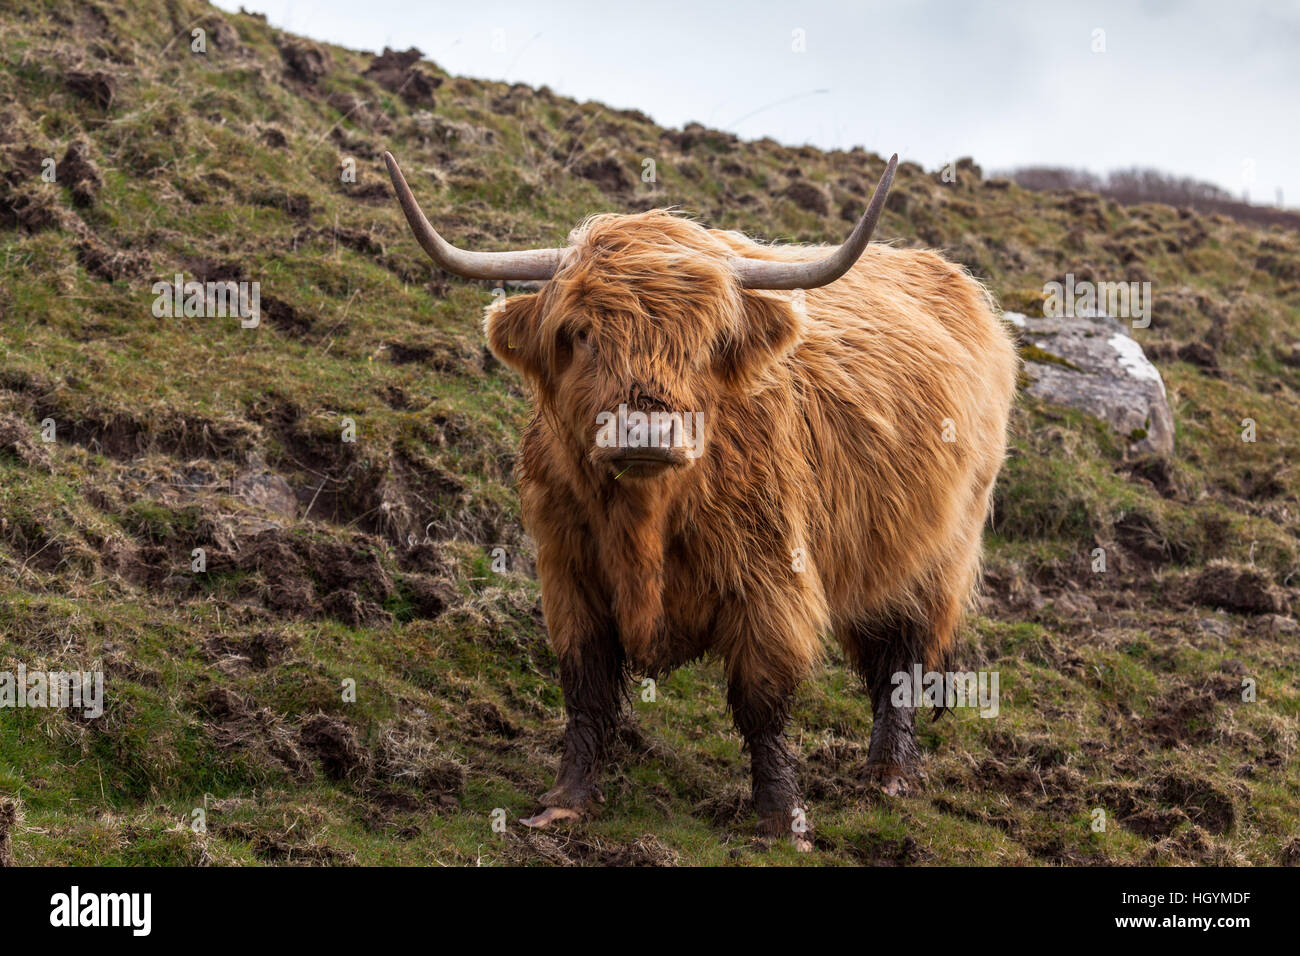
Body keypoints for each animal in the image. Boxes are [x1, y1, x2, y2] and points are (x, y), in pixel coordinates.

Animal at [385, 150, 1018, 849]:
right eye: (579, 333)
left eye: (708, 341)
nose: (644, 431)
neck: (648, 517)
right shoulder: (568, 575)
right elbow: (586, 689)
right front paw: (566, 803)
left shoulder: (771, 581)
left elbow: (762, 701)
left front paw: (781, 819)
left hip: (937, 554)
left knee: (903, 659)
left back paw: (889, 774)